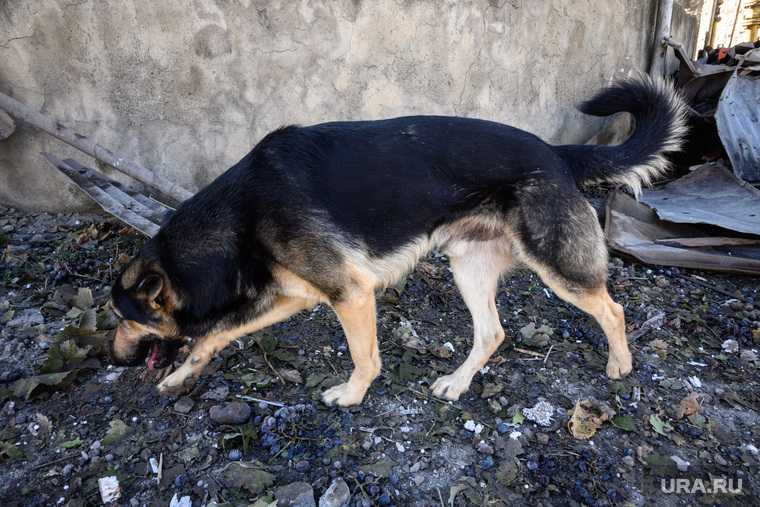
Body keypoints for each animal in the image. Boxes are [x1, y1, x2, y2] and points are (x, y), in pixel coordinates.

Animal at [108, 75, 688, 406]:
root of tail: (557, 152)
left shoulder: (351, 295)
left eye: (122, 318)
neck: (239, 213)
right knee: (493, 332)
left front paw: (351, 395)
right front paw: (181, 376)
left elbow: (364, 356)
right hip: (467, 266)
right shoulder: (295, 297)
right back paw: (457, 384)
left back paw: (620, 365)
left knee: (611, 309)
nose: (114, 361)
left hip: (556, 264)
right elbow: (216, 333)